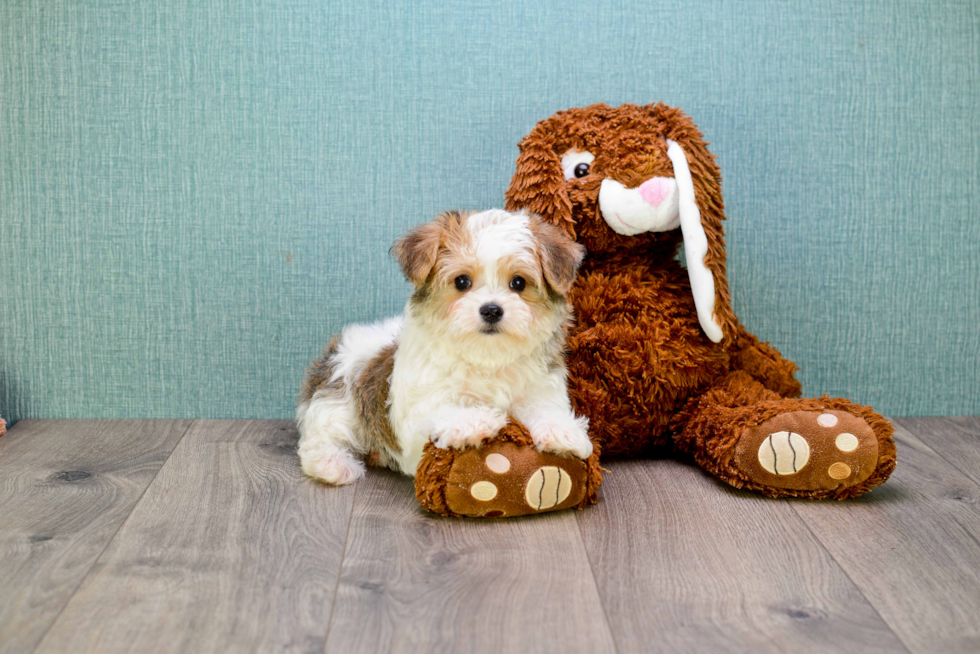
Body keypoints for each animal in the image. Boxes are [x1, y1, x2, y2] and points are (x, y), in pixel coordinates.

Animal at [294, 210, 588, 486]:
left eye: (518, 283)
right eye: (461, 281)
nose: (492, 310)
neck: (486, 356)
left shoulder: (540, 388)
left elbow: (544, 408)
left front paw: (563, 431)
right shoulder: (417, 407)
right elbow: (438, 410)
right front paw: (475, 420)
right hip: (337, 404)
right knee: (320, 439)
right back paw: (333, 465)